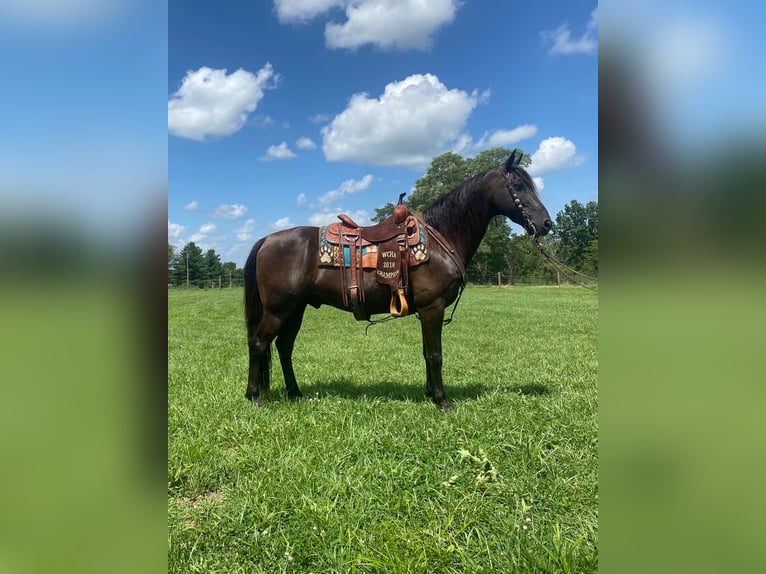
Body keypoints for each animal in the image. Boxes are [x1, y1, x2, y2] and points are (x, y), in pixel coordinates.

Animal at [246, 151, 552, 412]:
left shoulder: (426, 312)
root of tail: (267, 239)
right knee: (259, 343)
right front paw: (443, 401)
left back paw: (295, 393)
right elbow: (435, 355)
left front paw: (430, 393)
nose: (546, 224)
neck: (441, 238)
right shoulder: (432, 308)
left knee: (284, 347)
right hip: (278, 310)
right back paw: (254, 397)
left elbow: (426, 352)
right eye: (518, 186)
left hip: (295, 309)